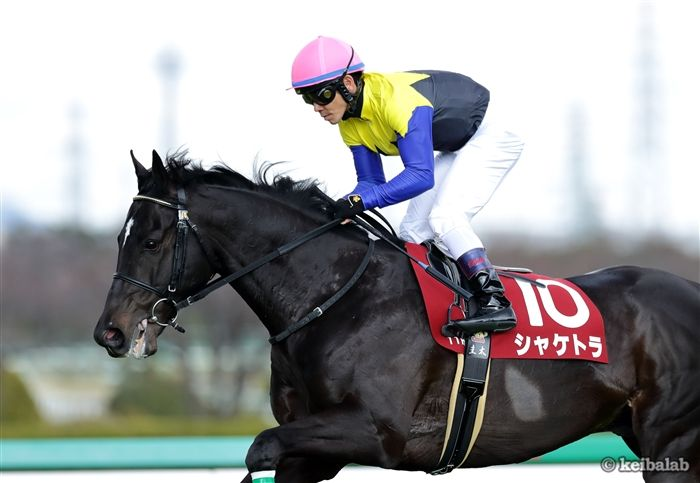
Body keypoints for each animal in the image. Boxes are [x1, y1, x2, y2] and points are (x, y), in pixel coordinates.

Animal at [94, 151, 700, 483]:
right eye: (118, 238)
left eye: (150, 240)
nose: (110, 333)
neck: (337, 298)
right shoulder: (309, 447)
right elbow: (273, 449)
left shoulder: (379, 433)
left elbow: (258, 446)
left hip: (671, 441)